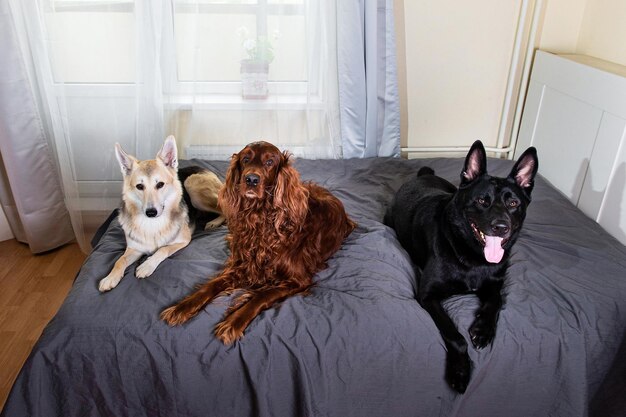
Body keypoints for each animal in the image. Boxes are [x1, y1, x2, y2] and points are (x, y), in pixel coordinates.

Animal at [97, 135, 224, 290]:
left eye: (160, 184)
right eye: (139, 186)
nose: (151, 212)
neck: (153, 224)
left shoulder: (183, 241)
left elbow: (162, 250)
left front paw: (147, 265)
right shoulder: (134, 248)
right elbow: (119, 260)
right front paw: (110, 277)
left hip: (192, 187)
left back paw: (214, 222)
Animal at [161, 141, 356, 342]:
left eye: (270, 162)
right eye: (246, 159)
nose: (251, 180)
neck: (260, 221)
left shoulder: (297, 280)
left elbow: (261, 296)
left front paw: (233, 322)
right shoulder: (242, 266)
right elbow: (210, 286)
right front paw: (181, 308)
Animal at [382, 141, 540, 392]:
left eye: (513, 203)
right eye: (482, 201)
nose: (501, 227)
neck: (473, 258)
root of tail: (423, 176)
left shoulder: (494, 286)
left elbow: (497, 301)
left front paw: (483, 330)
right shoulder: (428, 296)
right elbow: (456, 338)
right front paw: (460, 371)